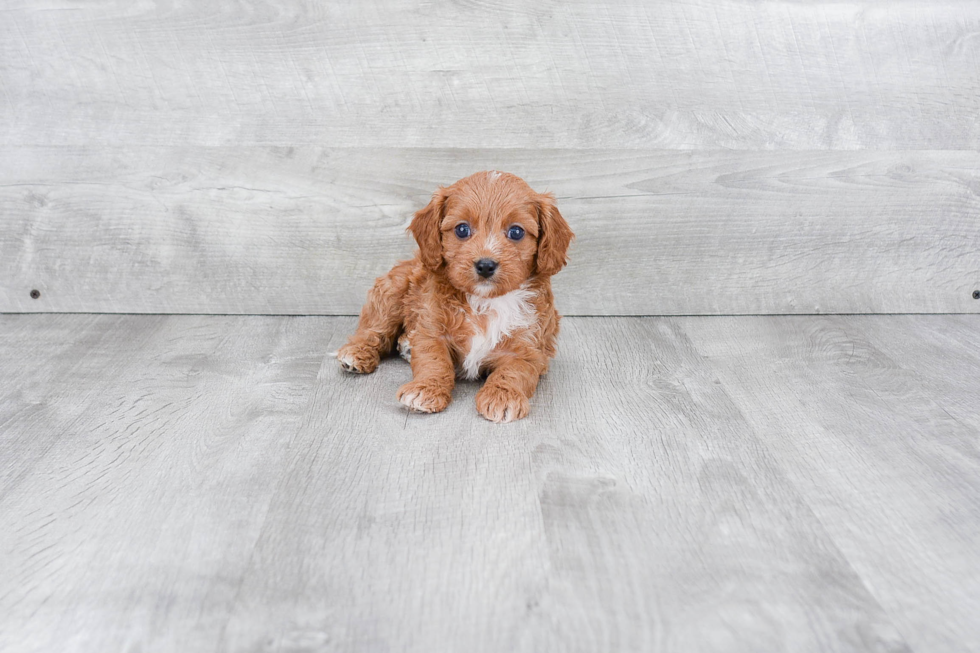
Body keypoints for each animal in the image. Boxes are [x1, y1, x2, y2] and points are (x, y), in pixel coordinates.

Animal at [334, 169, 572, 422]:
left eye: (516, 232)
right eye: (462, 229)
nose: (485, 265)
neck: (485, 302)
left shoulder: (529, 346)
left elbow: (513, 372)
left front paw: (503, 397)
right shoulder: (432, 330)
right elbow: (434, 362)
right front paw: (425, 390)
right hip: (391, 293)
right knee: (373, 331)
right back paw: (357, 353)